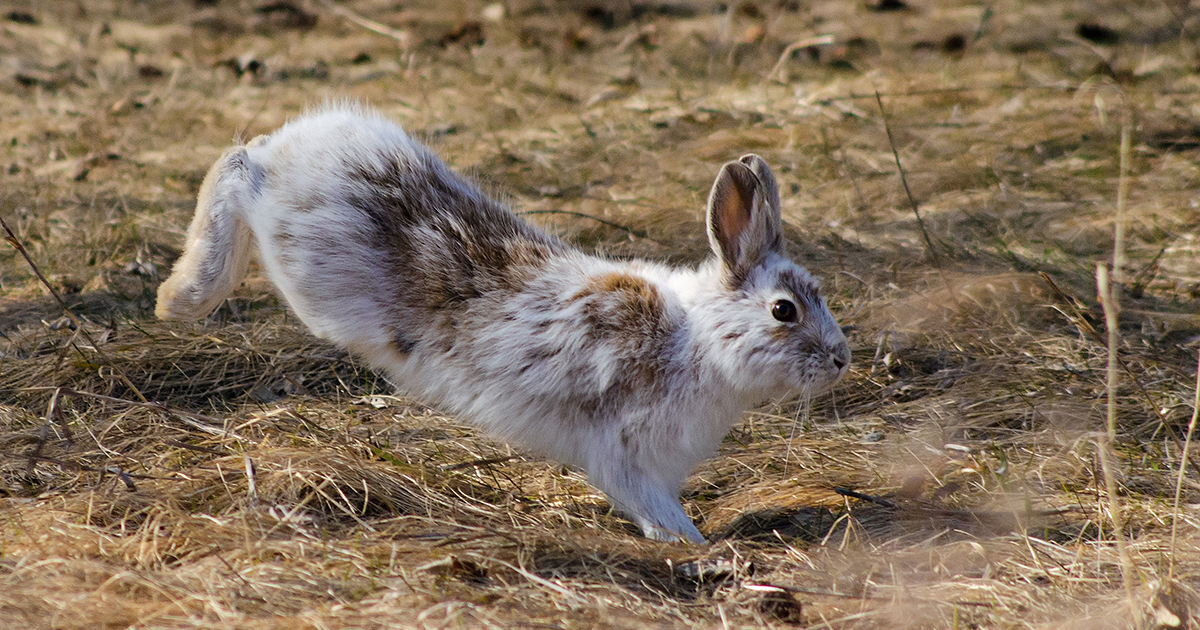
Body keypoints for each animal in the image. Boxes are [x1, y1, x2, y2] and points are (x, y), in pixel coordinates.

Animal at [156, 104, 850, 543]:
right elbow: (654, 508)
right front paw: (691, 544)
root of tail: (304, 141)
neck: (699, 339)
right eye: (784, 310)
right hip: (305, 270)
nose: (841, 360)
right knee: (236, 165)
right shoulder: (626, 453)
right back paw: (180, 296)